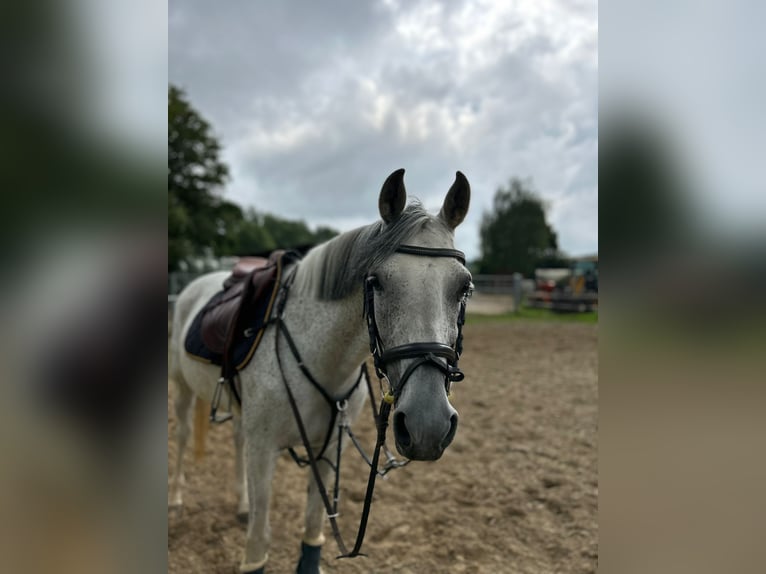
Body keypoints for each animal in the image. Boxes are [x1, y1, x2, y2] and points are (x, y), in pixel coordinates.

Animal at [170, 170, 474, 574]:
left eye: (464, 287)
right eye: (377, 281)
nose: (428, 425)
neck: (322, 361)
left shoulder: (330, 446)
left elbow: (314, 522)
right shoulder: (264, 448)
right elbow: (259, 538)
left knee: (236, 440)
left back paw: (241, 504)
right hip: (183, 389)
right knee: (183, 436)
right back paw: (176, 499)